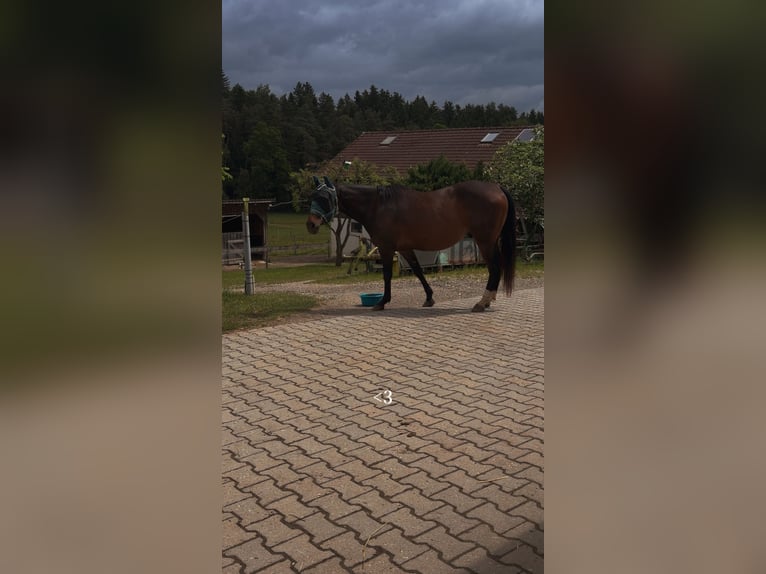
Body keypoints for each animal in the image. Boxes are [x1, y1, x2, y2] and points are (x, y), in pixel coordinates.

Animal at [306, 177, 516, 312]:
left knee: (494, 268)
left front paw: (382, 302)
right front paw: (429, 298)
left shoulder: (387, 248)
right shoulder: (405, 248)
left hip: (484, 241)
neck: (378, 206)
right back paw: (487, 301)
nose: (311, 225)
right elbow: (418, 271)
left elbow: (387, 275)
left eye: (324, 198)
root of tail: (497, 188)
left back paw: (482, 302)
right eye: (312, 197)